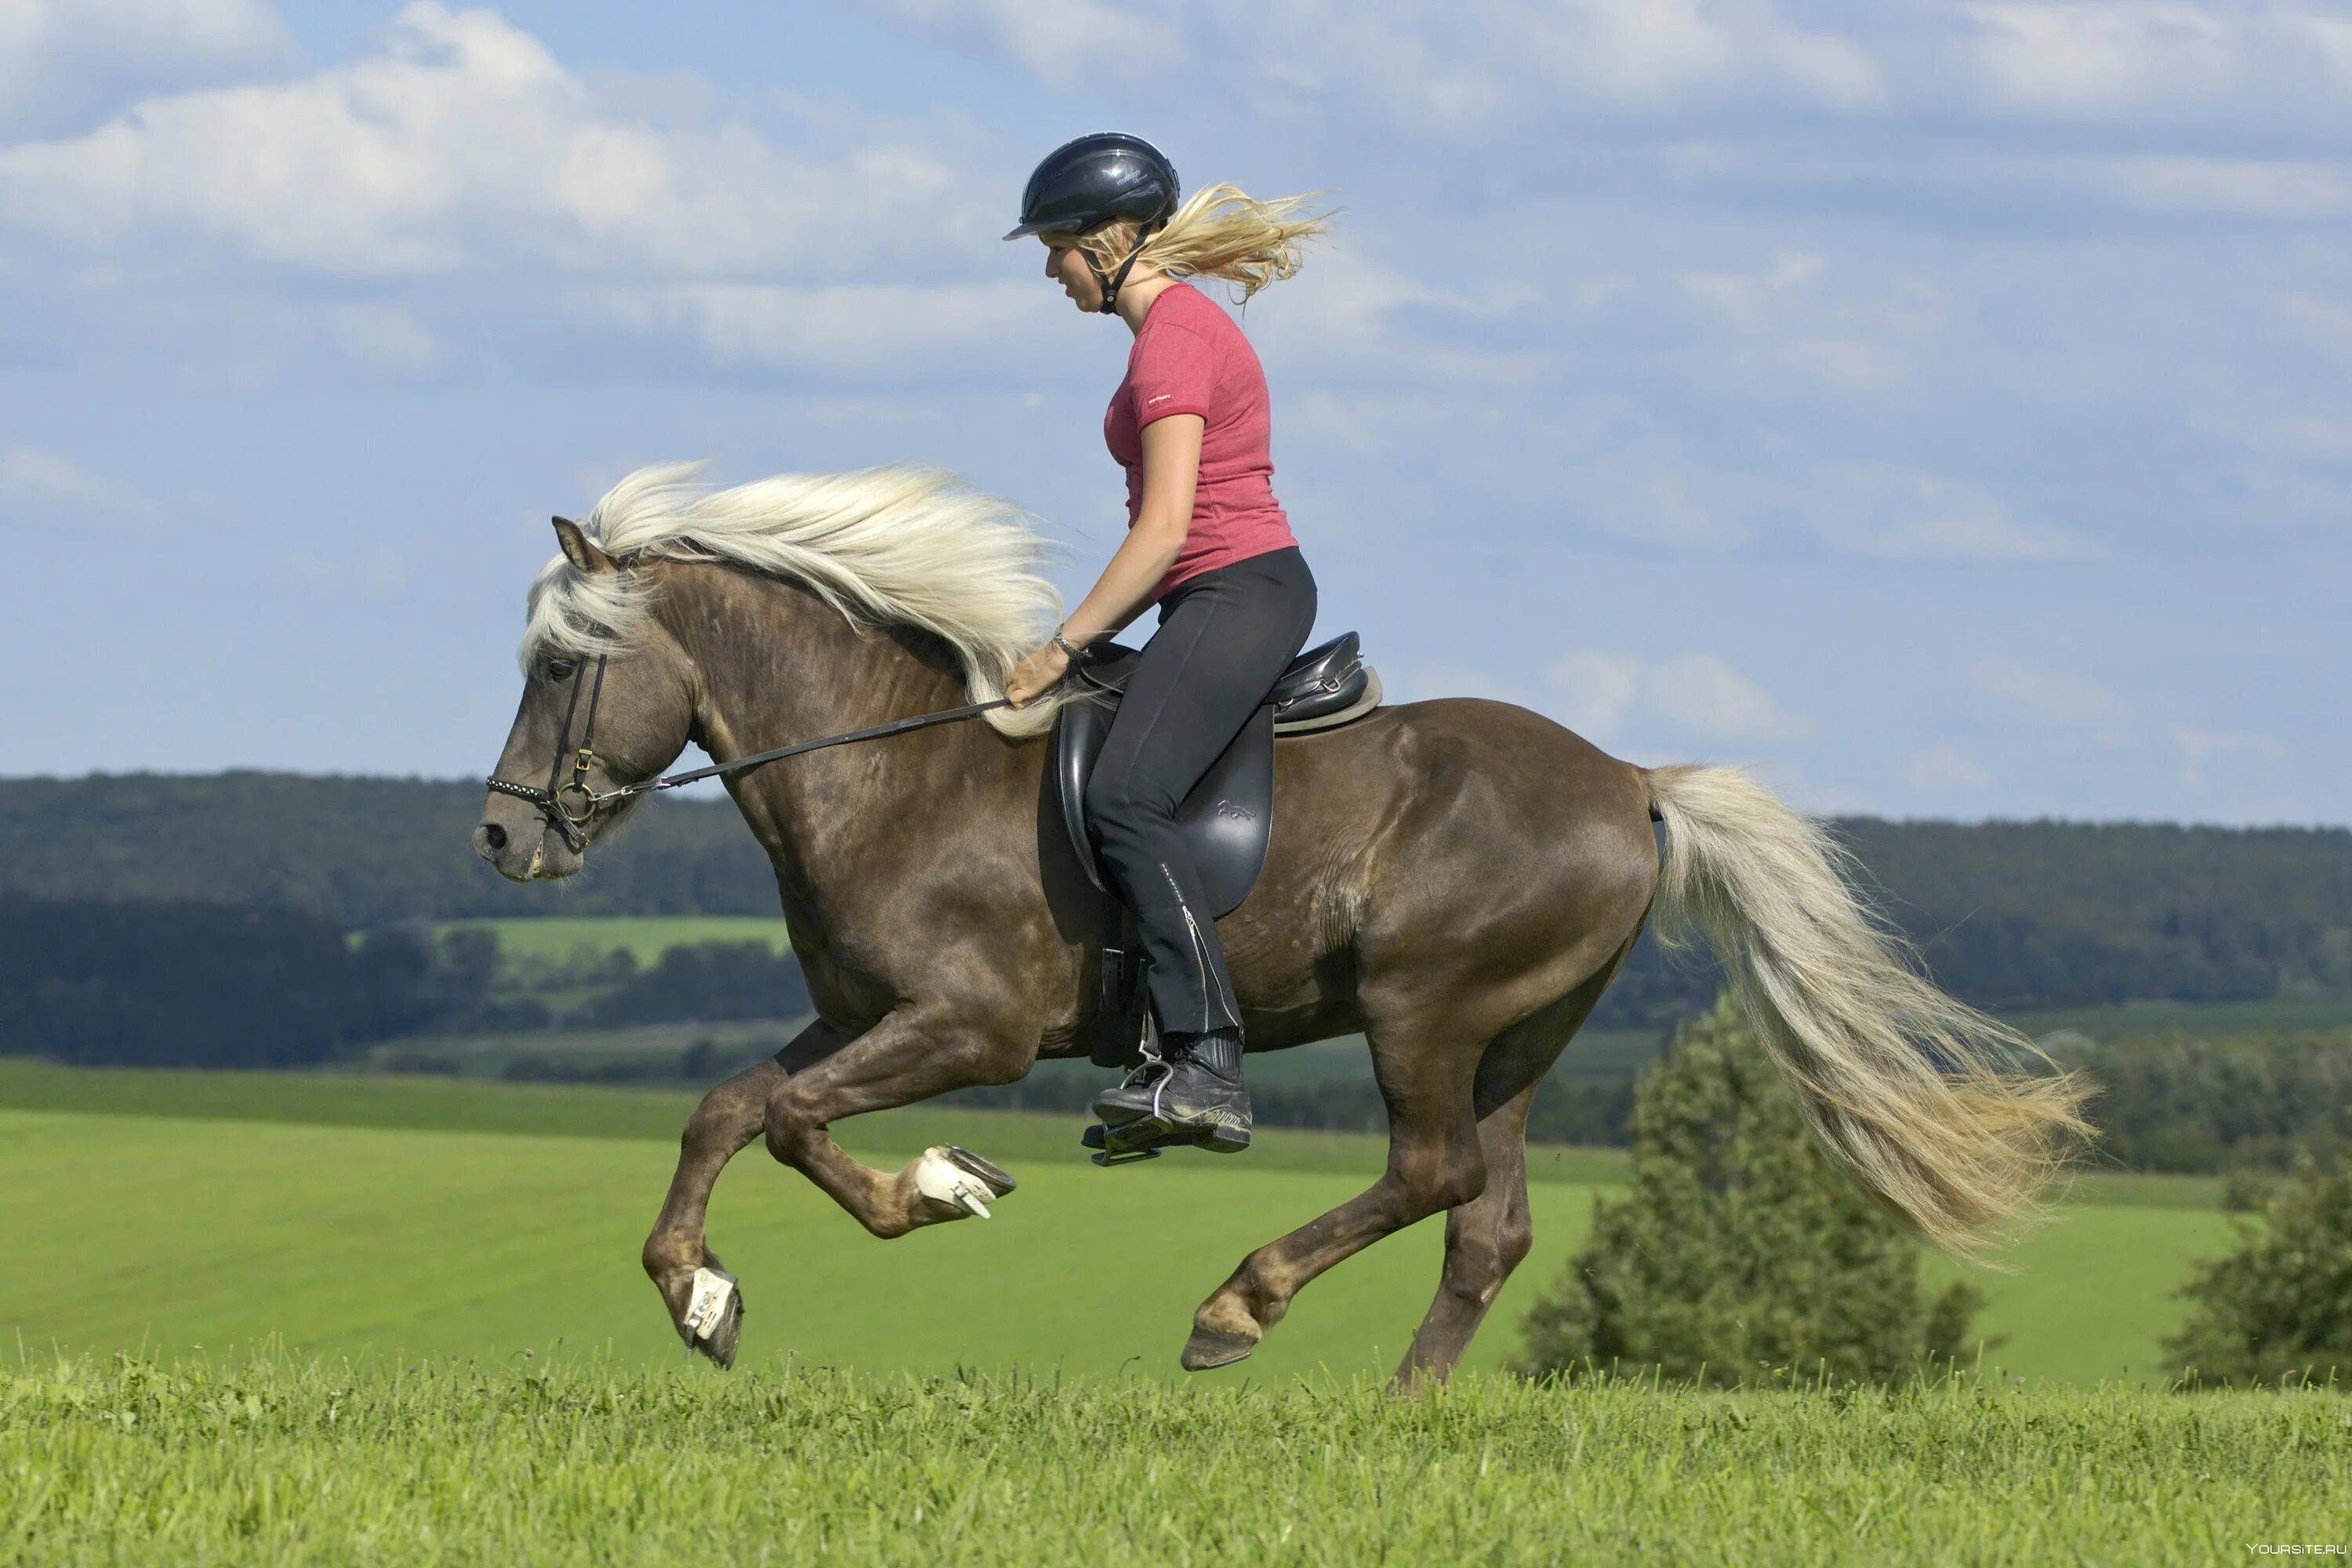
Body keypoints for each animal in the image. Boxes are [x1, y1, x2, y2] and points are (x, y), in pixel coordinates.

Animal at [468, 463, 2089, 1382]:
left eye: (557, 666)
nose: (497, 837)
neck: (889, 765)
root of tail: (1631, 781)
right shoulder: (862, 1015)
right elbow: (728, 1107)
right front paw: (700, 1297)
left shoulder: (966, 1030)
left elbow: (796, 1125)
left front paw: (938, 1187)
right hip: (1523, 1036)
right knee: (1489, 1222)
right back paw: (1401, 1413)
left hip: (1425, 1007)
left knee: (1432, 1174)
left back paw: (1237, 1309)